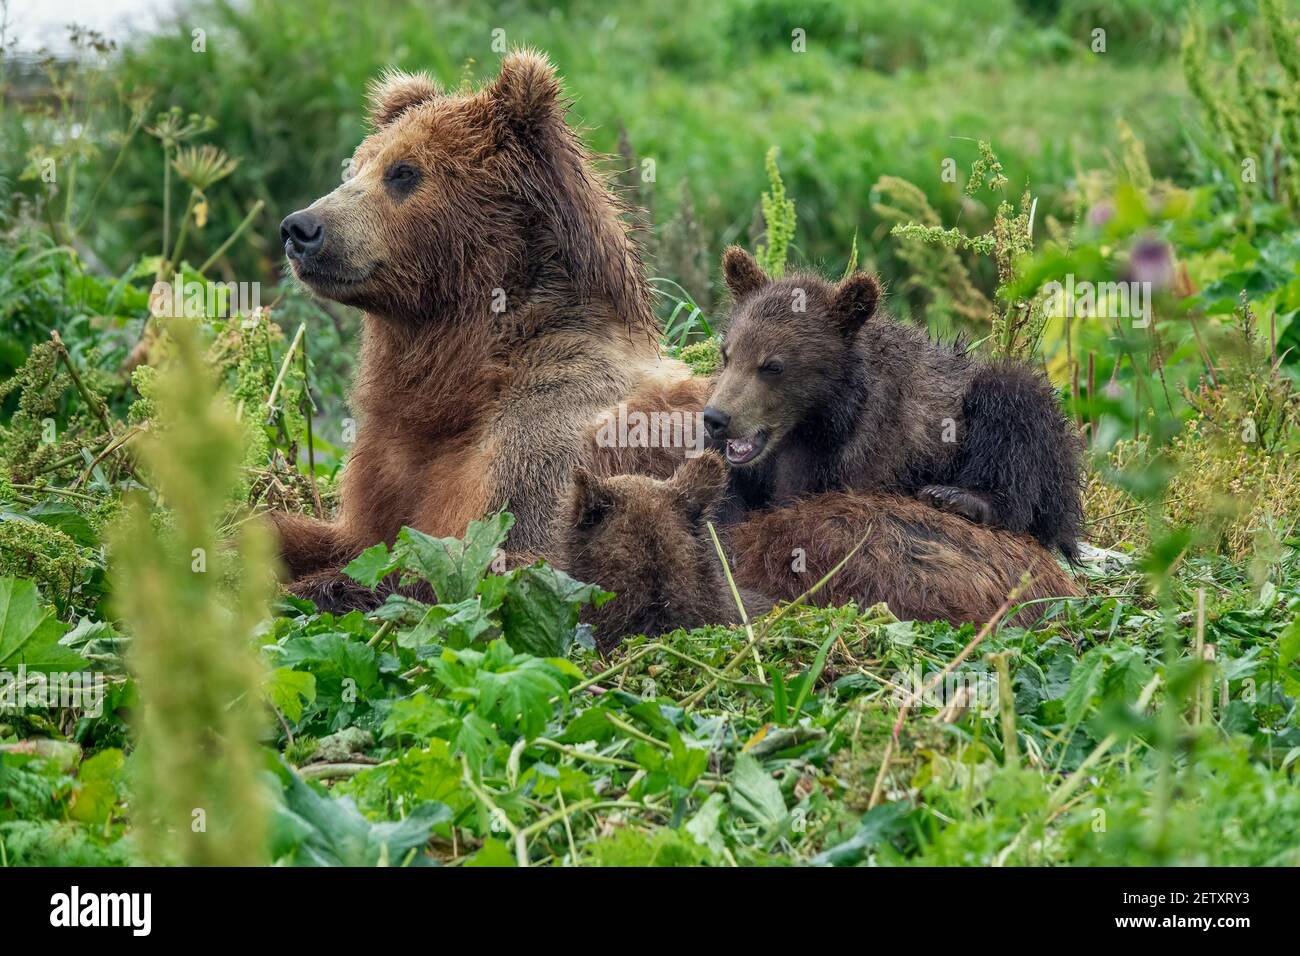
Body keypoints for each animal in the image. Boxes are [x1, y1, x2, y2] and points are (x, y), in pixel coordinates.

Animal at [270, 51, 711, 611]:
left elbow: (483, 566)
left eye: (404, 172)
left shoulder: (544, 451)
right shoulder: (391, 461)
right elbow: (357, 536)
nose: (300, 228)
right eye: (359, 163)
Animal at [701, 246, 1085, 559]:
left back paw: (960, 497)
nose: (716, 418)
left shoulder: (852, 457)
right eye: (727, 353)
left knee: (1016, 412)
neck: (818, 418)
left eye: (772, 365)